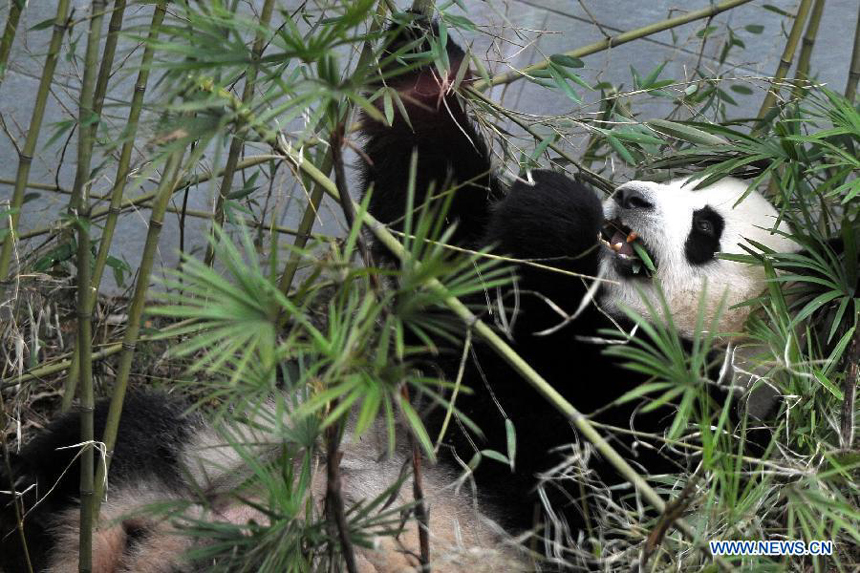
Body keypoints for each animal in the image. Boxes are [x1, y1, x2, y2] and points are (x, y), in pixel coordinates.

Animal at [1, 13, 808, 572]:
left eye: (706, 229)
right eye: (678, 181)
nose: (630, 197)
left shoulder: (671, 433)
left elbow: (549, 450)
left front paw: (562, 219)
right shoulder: (452, 293)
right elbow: (430, 214)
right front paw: (421, 59)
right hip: (179, 460)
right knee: (83, 455)